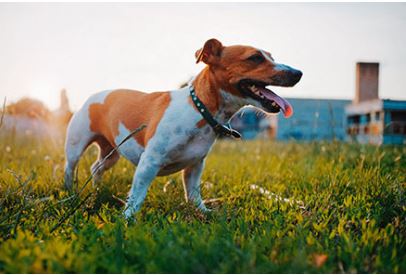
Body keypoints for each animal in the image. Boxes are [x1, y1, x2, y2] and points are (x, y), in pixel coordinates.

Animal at [63, 39, 302, 220]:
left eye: (271, 56)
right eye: (255, 58)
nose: (298, 72)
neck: (199, 109)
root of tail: (93, 96)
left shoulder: (195, 166)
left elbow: (193, 194)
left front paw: (203, 211)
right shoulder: (149, 162)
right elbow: (137, 194)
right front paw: (128, 218)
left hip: (111, 153)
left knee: (96, 167)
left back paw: (96, 189)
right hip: (75, 146)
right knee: (70, 168)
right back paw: (70, 194)